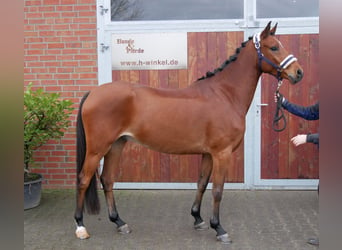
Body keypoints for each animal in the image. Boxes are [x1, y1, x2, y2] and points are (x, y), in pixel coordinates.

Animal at [73, 22, 304, 244]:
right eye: (274, 47)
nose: (298, 72)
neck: (225, 94)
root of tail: (93, 93)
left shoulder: (208, 154)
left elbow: (201, 183)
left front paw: (198, 219)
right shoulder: (222, 153)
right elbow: (217, 190)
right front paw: (219, 229)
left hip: (116, 145)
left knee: (107, 179)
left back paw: (120, 222)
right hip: (97, 149)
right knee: (84, 179)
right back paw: (81, 226)